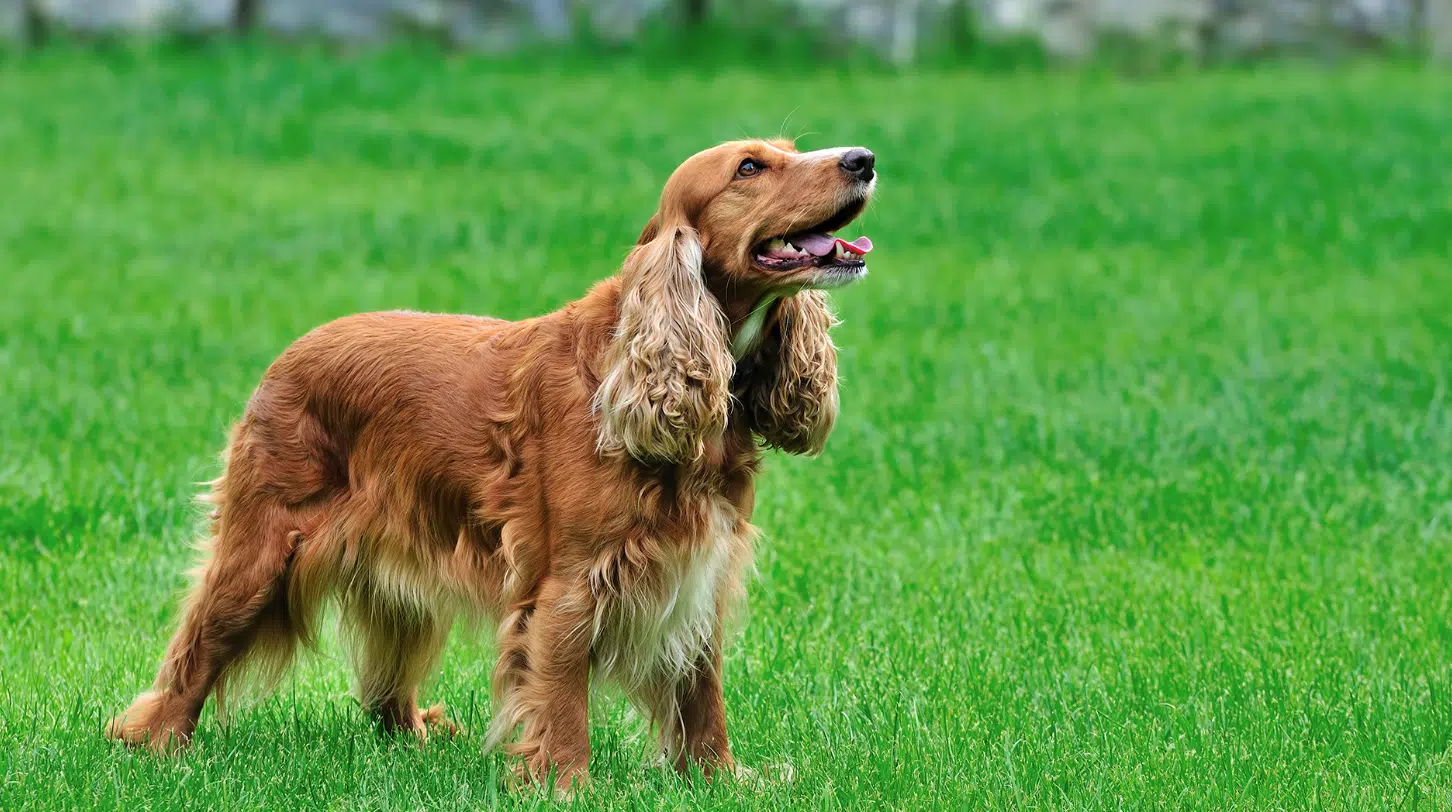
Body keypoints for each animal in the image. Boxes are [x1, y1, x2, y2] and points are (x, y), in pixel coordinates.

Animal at [105, 137, 871, 790]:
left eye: (794, 149)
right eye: (750, 168)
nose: (862, 159)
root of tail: (289, 353)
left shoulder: (700, 568)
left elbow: (702, 691)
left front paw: (718, 779)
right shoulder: (570, 582)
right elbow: (561, 696)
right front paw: (567, 786)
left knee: (383, 686)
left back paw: (416, 735)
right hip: (262, 549)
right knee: (195, 651)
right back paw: (156, 743)